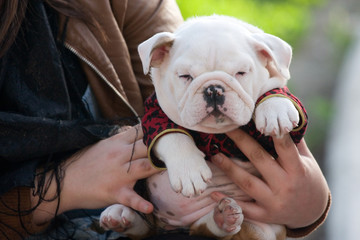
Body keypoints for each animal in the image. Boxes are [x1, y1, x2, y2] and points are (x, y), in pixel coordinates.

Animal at [100, 15, 306, 240]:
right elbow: (172, 136)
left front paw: (275, 110)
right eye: (185, 76)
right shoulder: (154, 117)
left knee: (207, 228)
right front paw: (189, 171)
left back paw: (223, 217)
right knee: (148, 224)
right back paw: (121, 215)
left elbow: (274, 90)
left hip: (262, 229)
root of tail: (174, 226)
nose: (214, 89)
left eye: (241, 73)